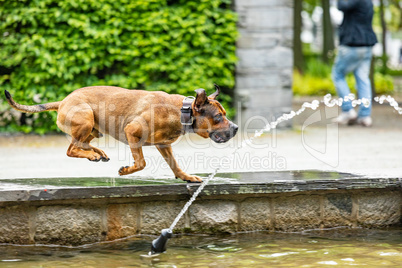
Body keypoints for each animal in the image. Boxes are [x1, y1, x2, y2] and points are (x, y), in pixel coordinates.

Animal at [4, 85, 237, 182]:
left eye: (225, 114)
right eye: (218, 116)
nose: (235, 128)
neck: (181, 110)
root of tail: (62, 101)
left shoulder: (164, 145)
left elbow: (175, 165)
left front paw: (186, 177)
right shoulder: (132, 132)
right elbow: (141, 162)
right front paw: (126, 171)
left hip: (94, 129)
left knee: (80, 144)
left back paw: (97, 153)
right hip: (86, 119)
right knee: (71, 149)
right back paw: (93, 155)